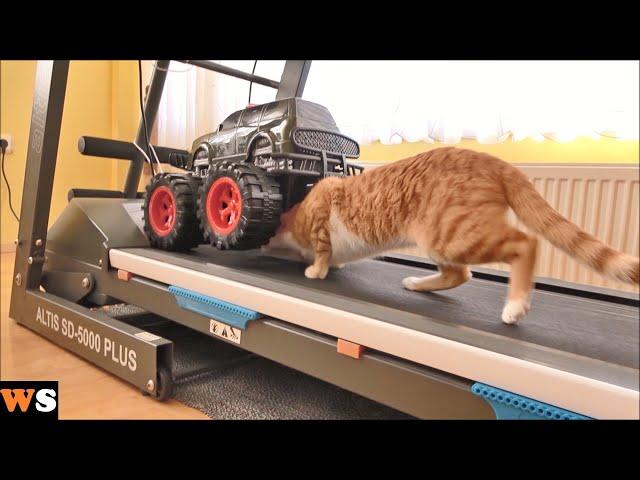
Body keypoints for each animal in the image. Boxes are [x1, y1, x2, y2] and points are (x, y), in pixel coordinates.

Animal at [262, 147, 640, 322]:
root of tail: (493, 160)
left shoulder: (320, 218)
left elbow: (322, 249)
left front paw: (317, 269)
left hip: (452, 234)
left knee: (525, 243)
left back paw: (515, 305)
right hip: (444, 243)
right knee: (460, 274)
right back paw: (418, 284)